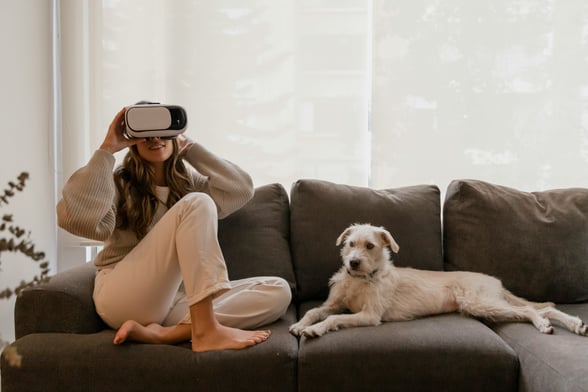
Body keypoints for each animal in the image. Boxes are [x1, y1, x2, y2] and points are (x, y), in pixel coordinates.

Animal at [290, 224, 588, 336]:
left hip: (479, 302)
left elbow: (333, 318)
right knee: (539, 309)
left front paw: (315, 330)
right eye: (350, 244)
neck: (362, 279)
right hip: (486, 305)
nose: (352, 263)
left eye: (370, 246)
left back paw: (546, 323)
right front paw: (300, 324)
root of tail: (495, 281)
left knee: (531, 309)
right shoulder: (335, 302)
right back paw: (573, 324)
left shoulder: (370, 315)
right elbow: (317, 311)